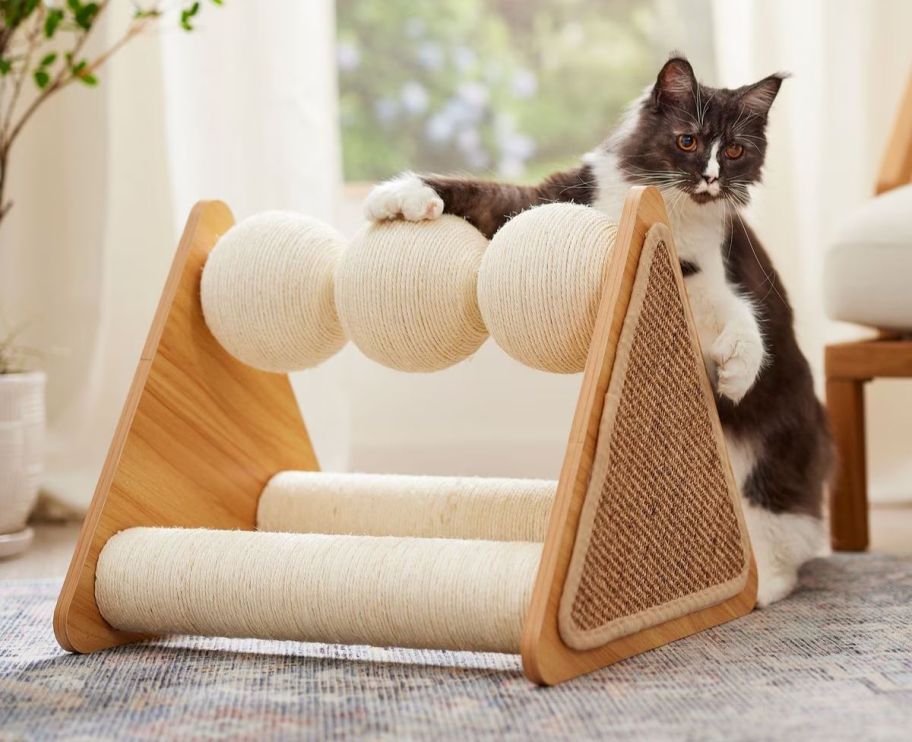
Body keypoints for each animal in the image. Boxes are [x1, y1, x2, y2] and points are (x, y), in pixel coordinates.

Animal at [364, 56, 832, 604]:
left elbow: (740, 314)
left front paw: (738, 370)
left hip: (774, 465)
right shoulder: (542, 202)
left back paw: (761, 589)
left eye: (735, 150)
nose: (710, 177)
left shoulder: (710, 276)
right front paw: (400, 195)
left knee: (785, 535)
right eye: (688, 141)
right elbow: (478, 192)